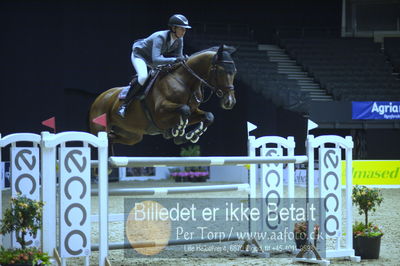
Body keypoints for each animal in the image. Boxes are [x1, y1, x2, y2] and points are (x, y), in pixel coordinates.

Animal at [89, 44, 236, 147]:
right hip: (100, 127)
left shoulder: (193, 111)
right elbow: (184, 110)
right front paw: (178, 131)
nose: (230, 102)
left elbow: (209, 116)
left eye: (234, 71)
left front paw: (191, 135)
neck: (186, 83)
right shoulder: (160, 112)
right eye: (221, 71)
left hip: (132, 136)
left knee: (112, 139)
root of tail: (100, 98)